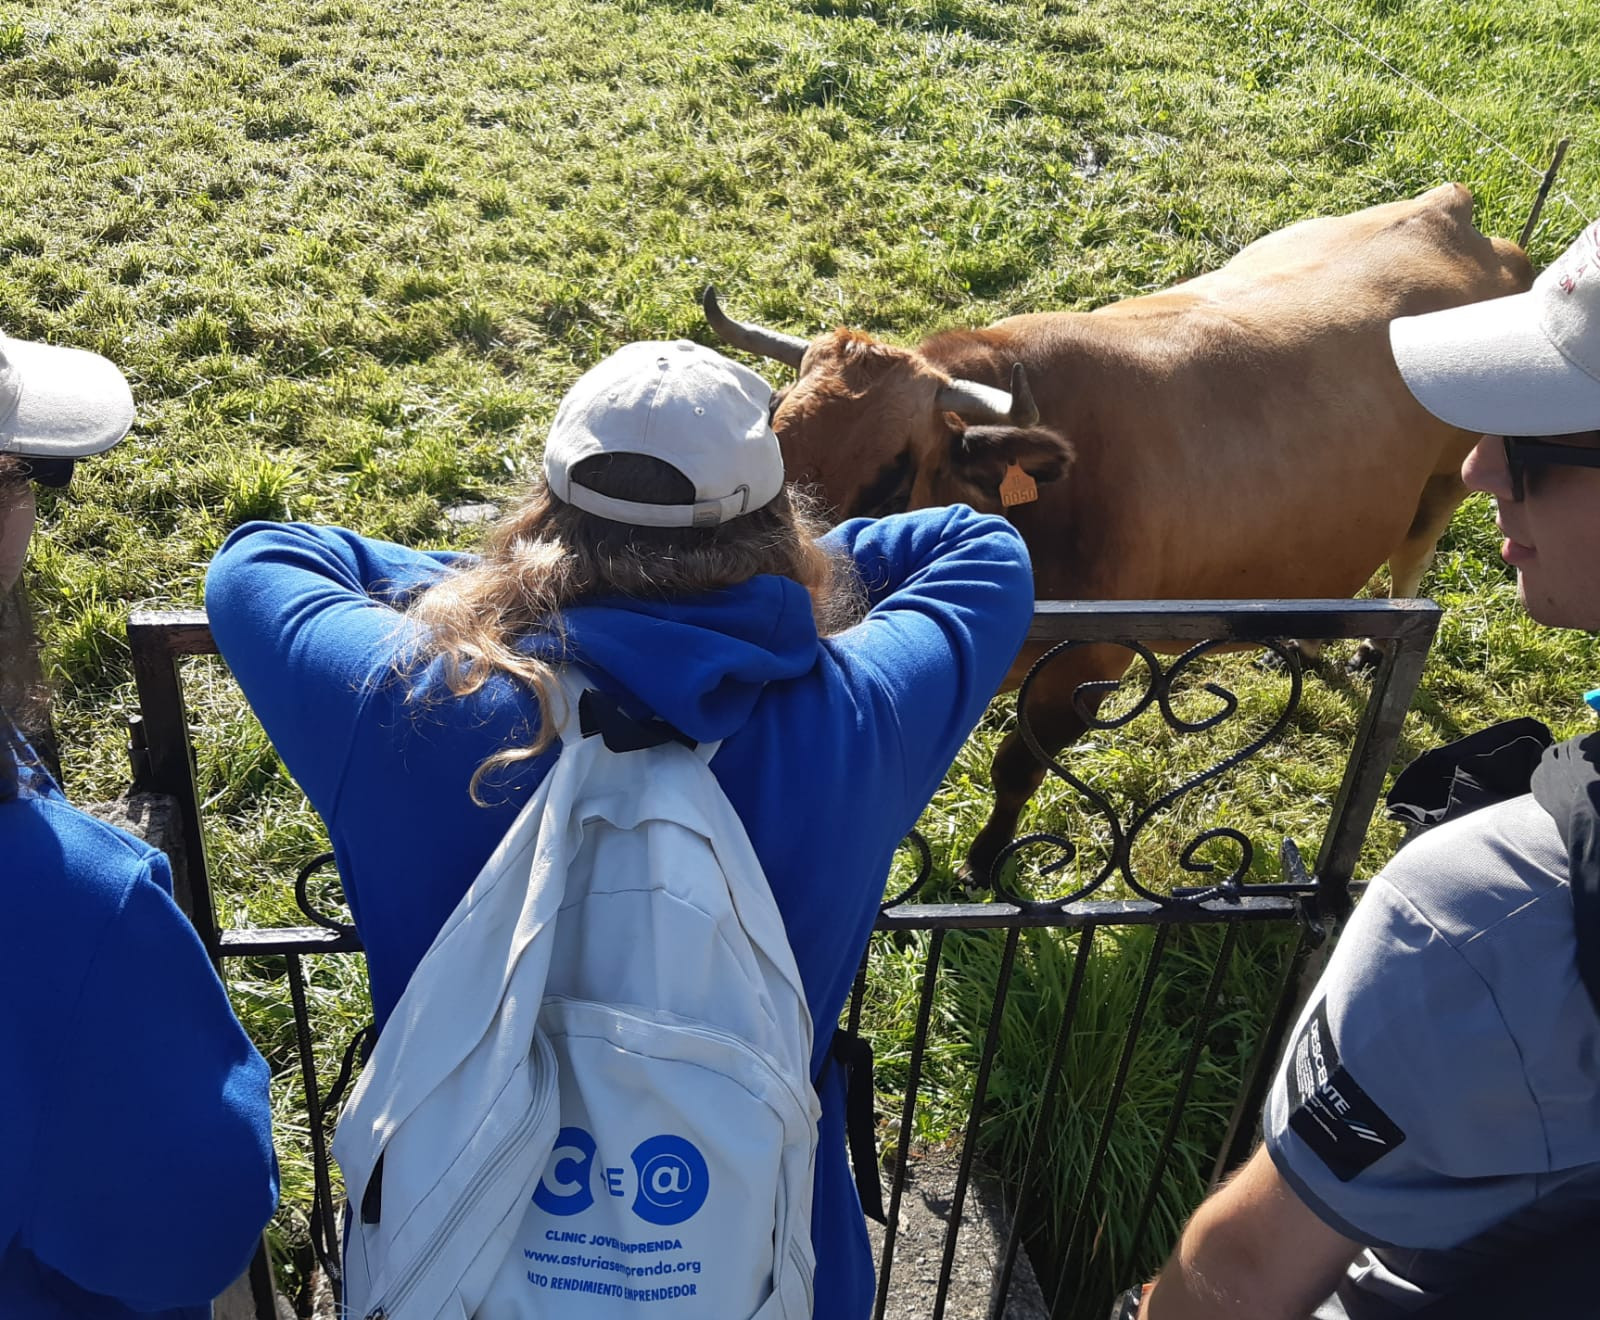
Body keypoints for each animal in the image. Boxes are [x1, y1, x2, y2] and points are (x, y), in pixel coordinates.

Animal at [707, 183, 1529, 883]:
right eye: (773, 429)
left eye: (892, 475)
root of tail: (1451, 209)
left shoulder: (1089, 666)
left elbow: (1018, 767)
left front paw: (984, 862)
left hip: (1449, 478)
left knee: (1414, 551)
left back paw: (1365, 649)